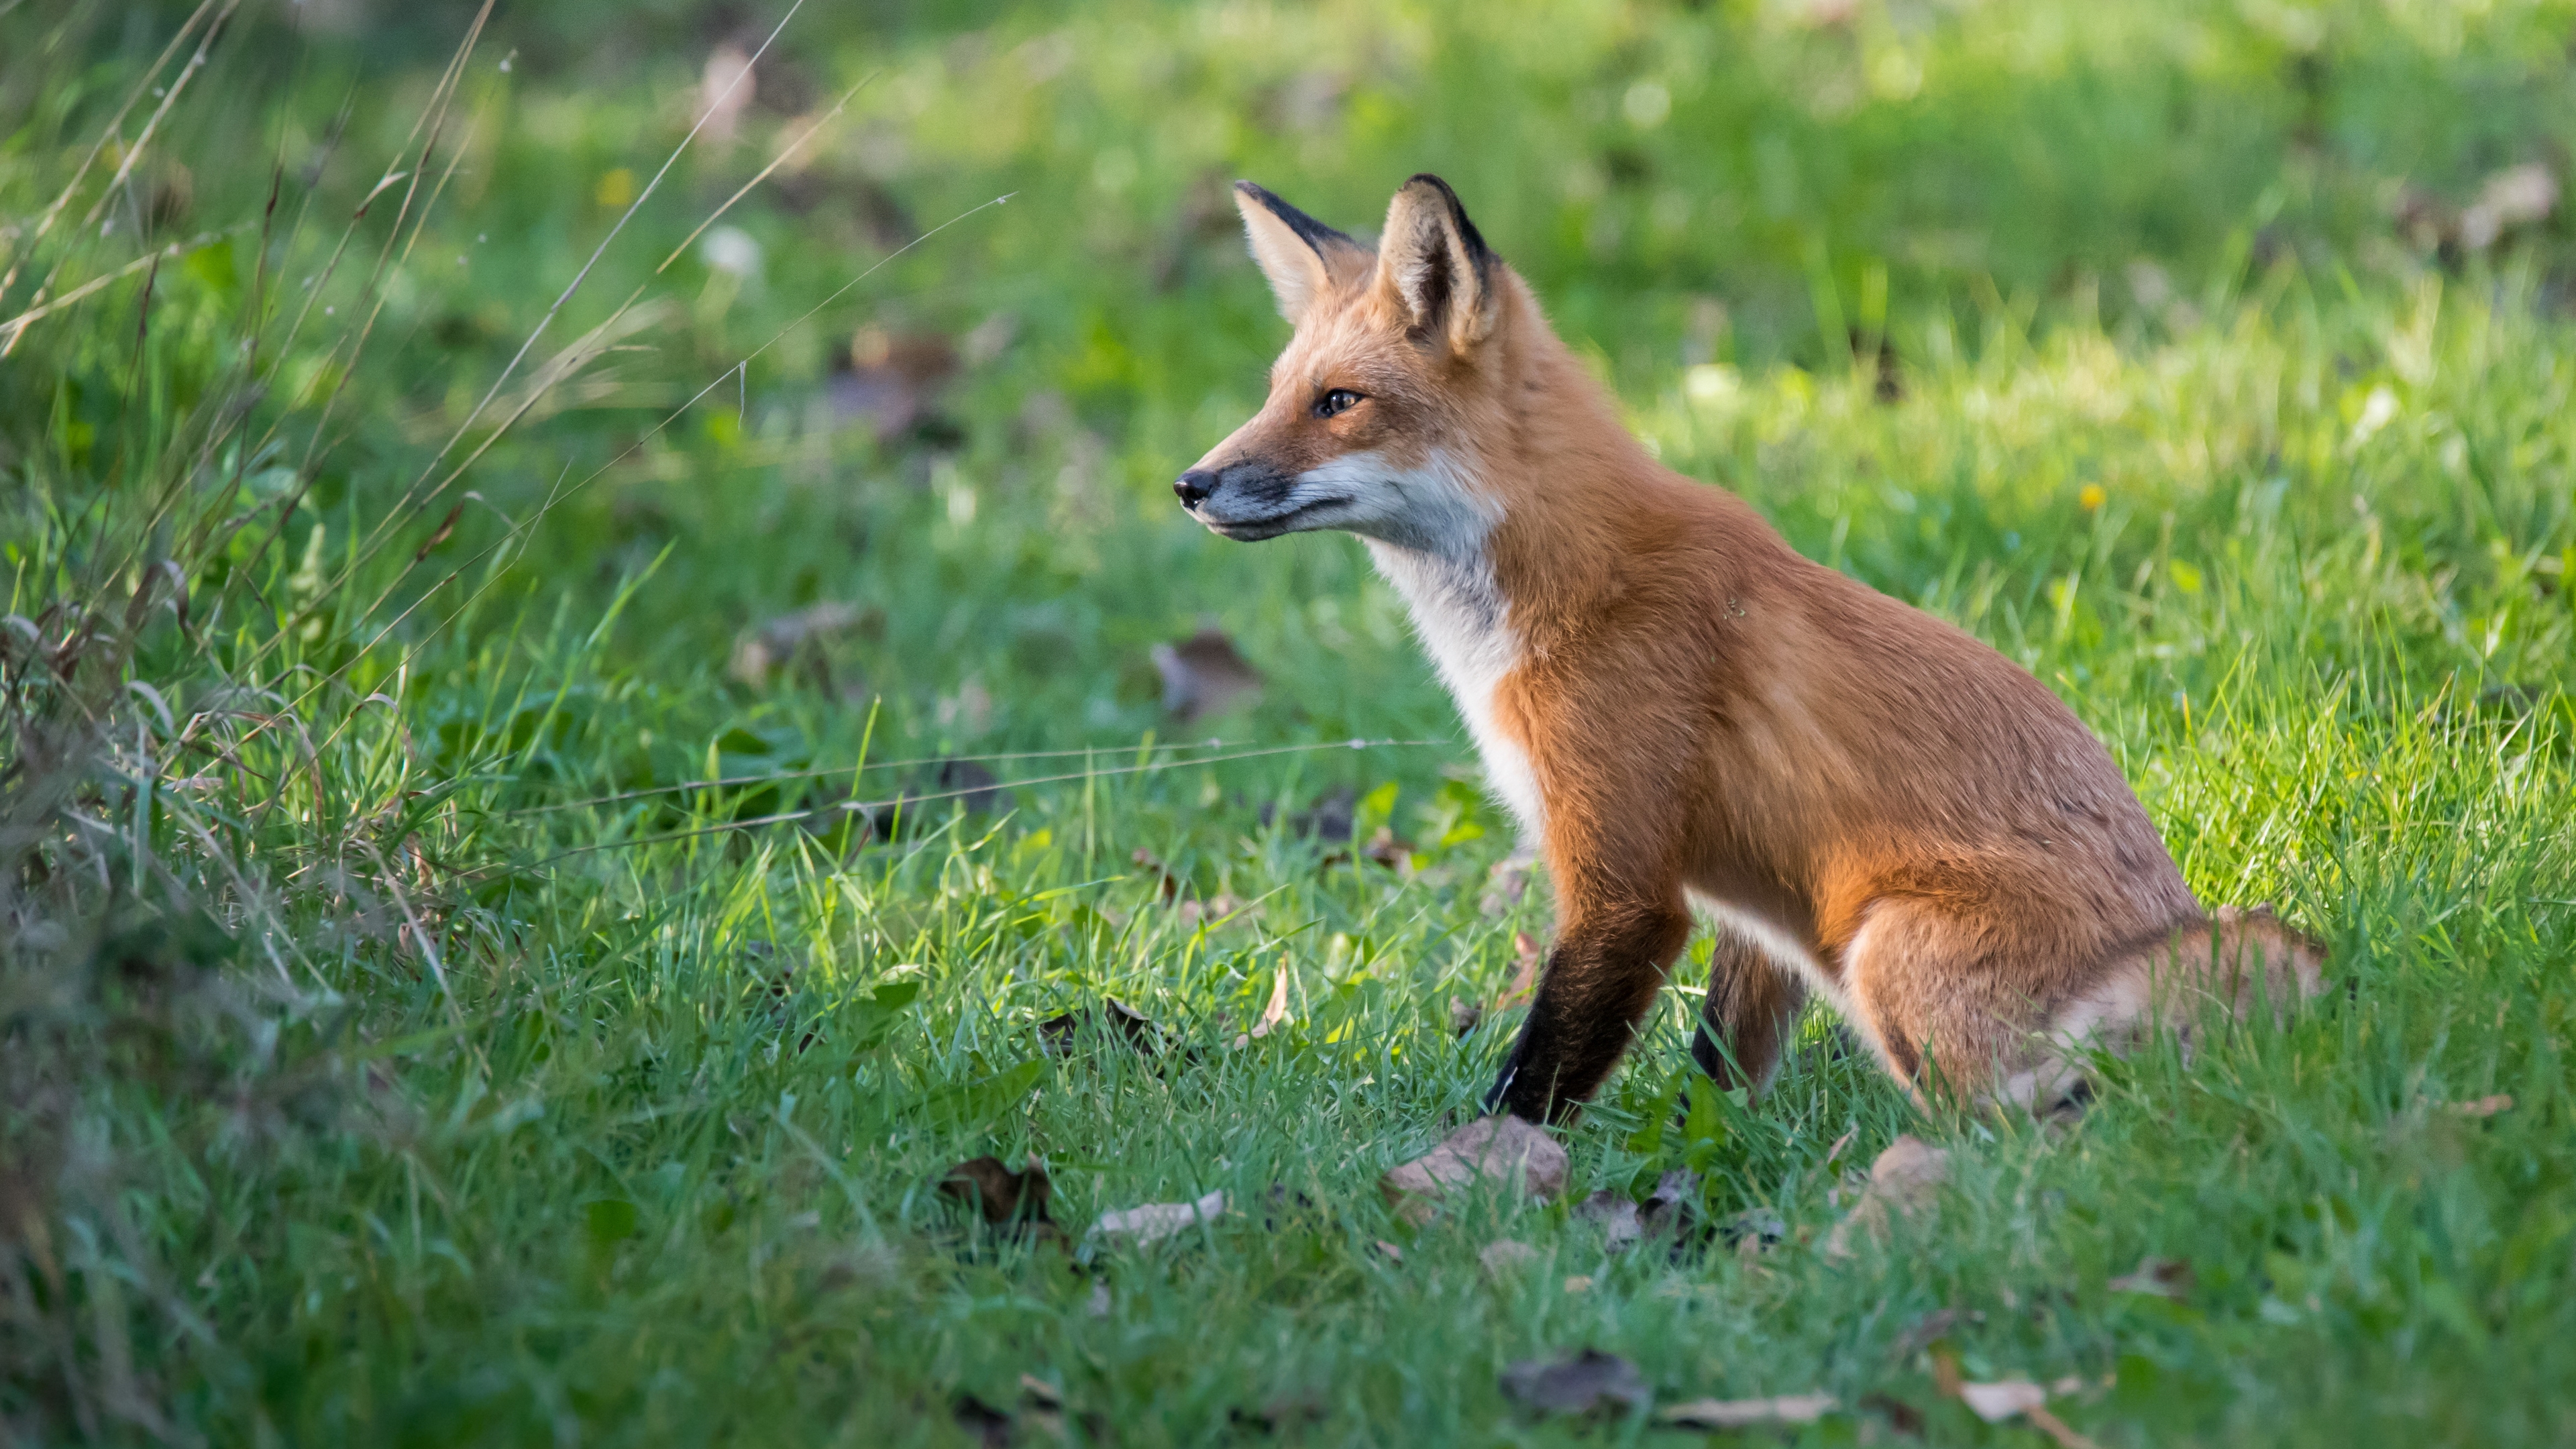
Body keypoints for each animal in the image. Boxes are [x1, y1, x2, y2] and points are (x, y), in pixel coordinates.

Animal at [1179, 168, 2328, 1119]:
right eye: (1275, 393)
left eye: (1340, 403)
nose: (1191, 484)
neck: (1560, 588)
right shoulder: (1748, 906)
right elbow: (1718, 1072)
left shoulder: (1625, 886)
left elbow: (1534, 1080)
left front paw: (1482, 1180)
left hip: (1886, 943)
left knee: (2006, 1121)